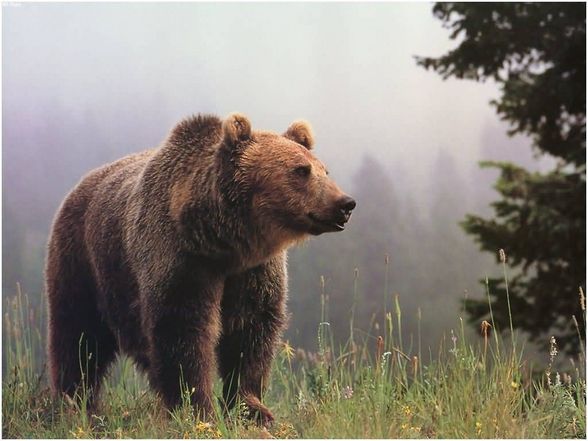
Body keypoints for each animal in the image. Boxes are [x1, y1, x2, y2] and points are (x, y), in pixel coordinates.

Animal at [44, 111, 354, 424]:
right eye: (301, 170)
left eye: (324, 170)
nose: (345, 204)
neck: (222, 243)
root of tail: (81, 183)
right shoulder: (181, 260)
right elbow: (183, 330)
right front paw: (196, 407)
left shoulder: (253, 271)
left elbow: (251, 330)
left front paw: (252, 407)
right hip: (84, 261)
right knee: (78, 335)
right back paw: (74, 401)